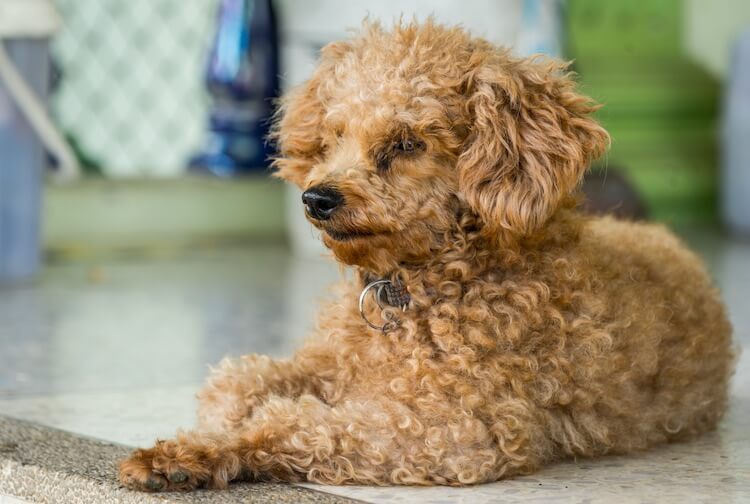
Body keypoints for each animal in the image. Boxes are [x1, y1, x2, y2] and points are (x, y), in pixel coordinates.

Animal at [122, 21, 736, 490]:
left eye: (406, 144)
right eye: (334, 136)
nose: (317, 199)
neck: (411, 286)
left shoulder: (450, 430)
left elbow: (295, 425)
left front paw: (192, 455)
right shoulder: (330, 362)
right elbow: (236, 381)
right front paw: (207, 432)